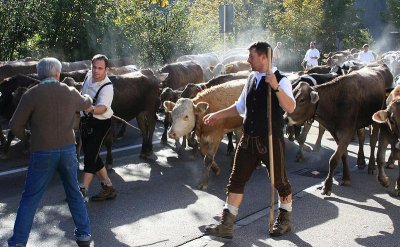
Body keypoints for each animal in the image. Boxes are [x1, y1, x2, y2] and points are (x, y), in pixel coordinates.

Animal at [286, 64, 392, 196]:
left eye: (301, 100)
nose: (285, 118)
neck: (336, 101)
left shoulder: (347, 132)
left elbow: (334, 159)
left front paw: (327, 185)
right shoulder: (335, 132)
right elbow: (343, 155)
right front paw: (346, 178)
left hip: (376, 119)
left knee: (372, 142)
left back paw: (371, 166)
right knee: (362, 138)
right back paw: (361, 161)